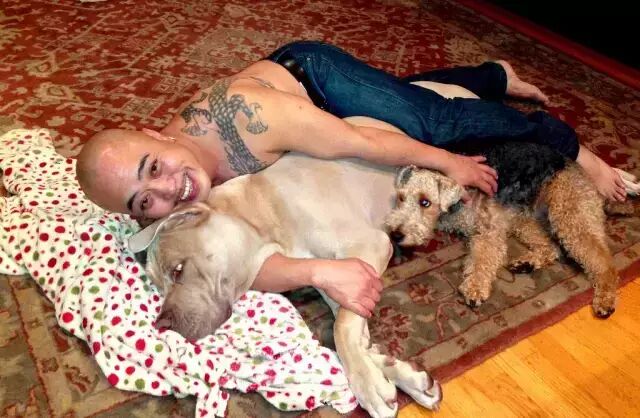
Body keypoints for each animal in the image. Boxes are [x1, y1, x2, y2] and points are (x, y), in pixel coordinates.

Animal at [384, 140, 637, 318]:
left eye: (425, 202)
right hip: (524, 219)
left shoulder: (489, 231)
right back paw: (526, 263)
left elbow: (482, 260)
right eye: (401, 197)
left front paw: (475, 289)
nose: (395, 235)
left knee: (604, 264)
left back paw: (605, 302)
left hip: (569, 216)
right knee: (552, 247)